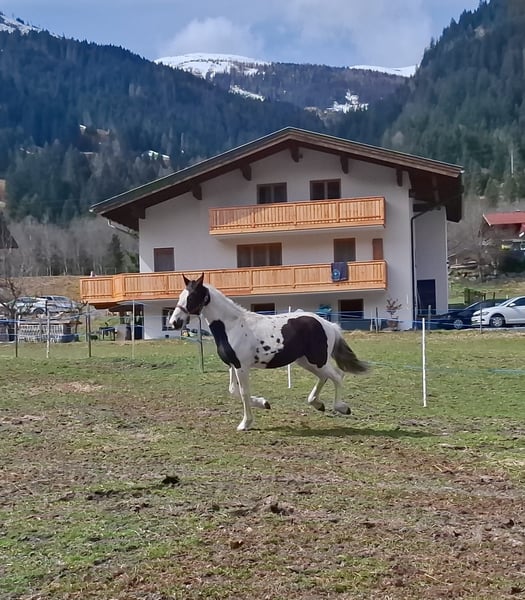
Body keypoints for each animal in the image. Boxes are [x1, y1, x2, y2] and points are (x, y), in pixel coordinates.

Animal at [169, 273, 368, 431]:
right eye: (181, 295)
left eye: (192, 297)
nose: (174, 322)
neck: (232, 325)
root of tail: (329, 324)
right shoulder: (233, 365)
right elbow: (233, 390)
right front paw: (264, 404)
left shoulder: (242, 367)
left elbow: (243, 392)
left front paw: (245, 423)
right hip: (306, 361)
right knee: (325, 377)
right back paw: (317, 404)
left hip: (316, 360)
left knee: (337, 376)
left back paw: (342, 407)